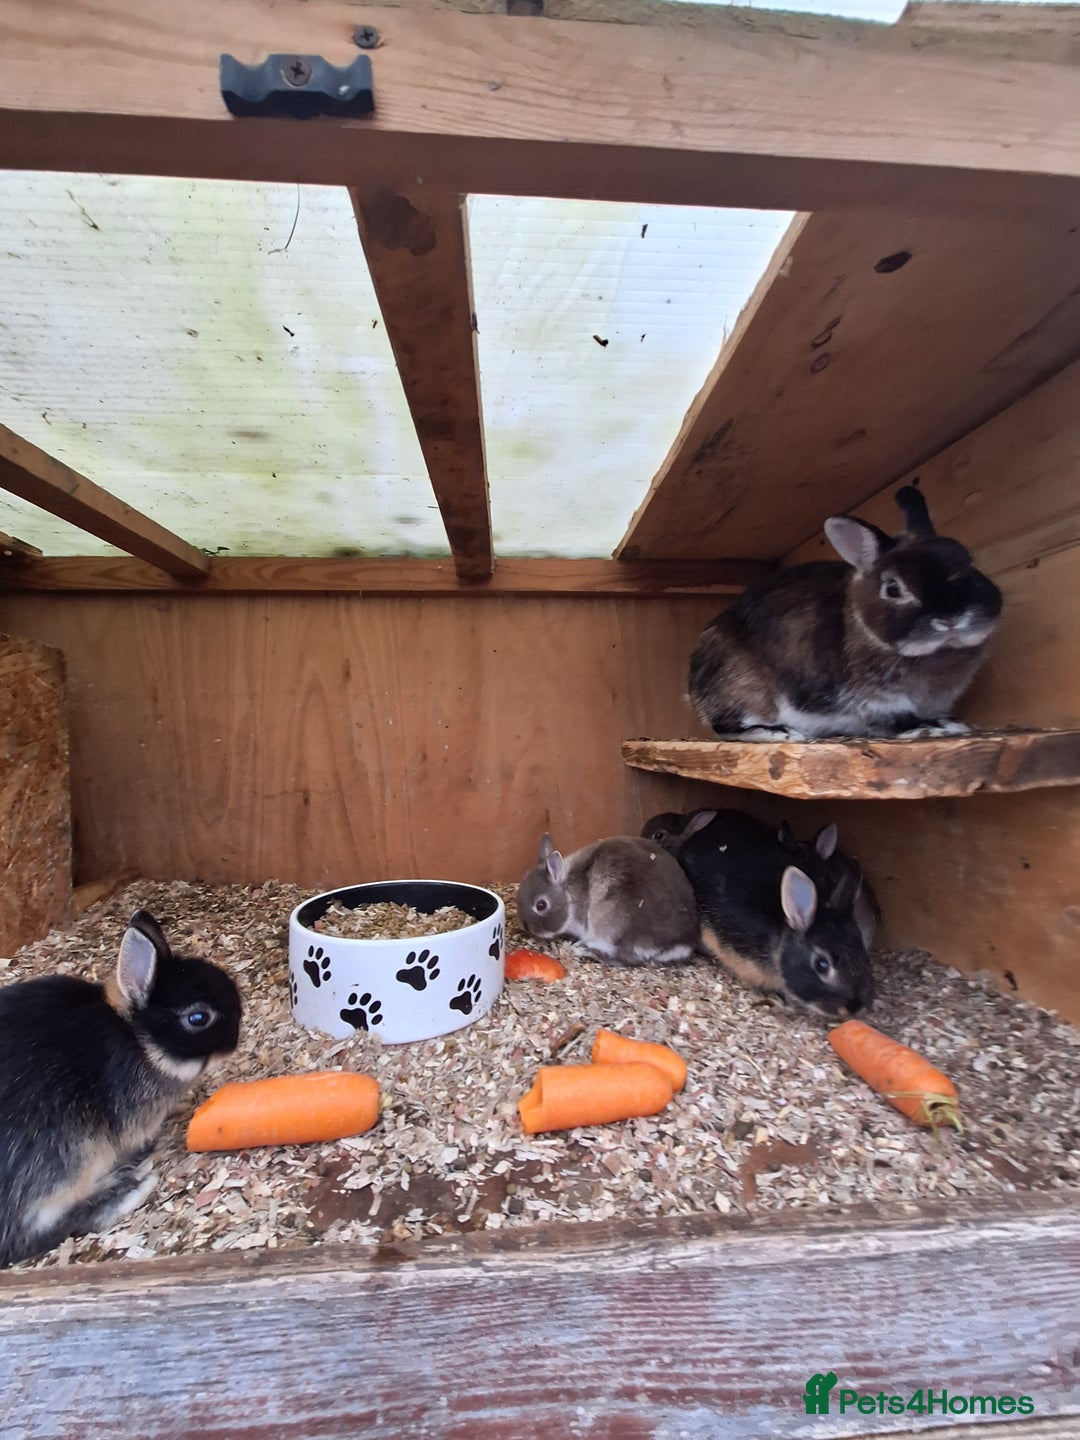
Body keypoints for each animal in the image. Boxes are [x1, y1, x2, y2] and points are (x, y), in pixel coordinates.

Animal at [0, 910, 241, 1268]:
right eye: (198, 1018)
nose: (236, 1040)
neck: (136, 1038)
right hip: (69, 1161)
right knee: (34, 1235)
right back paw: (130, 1188)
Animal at [516, 833, 700, 966]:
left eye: (541, 905)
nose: (527, 927)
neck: (568, 894)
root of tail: (681, 942)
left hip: (609, 923)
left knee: (623, 957)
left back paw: (582, 949)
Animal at [688, 484, 1003, 739]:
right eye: (892, 588)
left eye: (968, 563)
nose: (950, 618)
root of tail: (693, 688)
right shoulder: (873, 702)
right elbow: (892, 721)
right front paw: (934, 726)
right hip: (744, 689)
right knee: (727, 725)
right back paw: (777, 732)